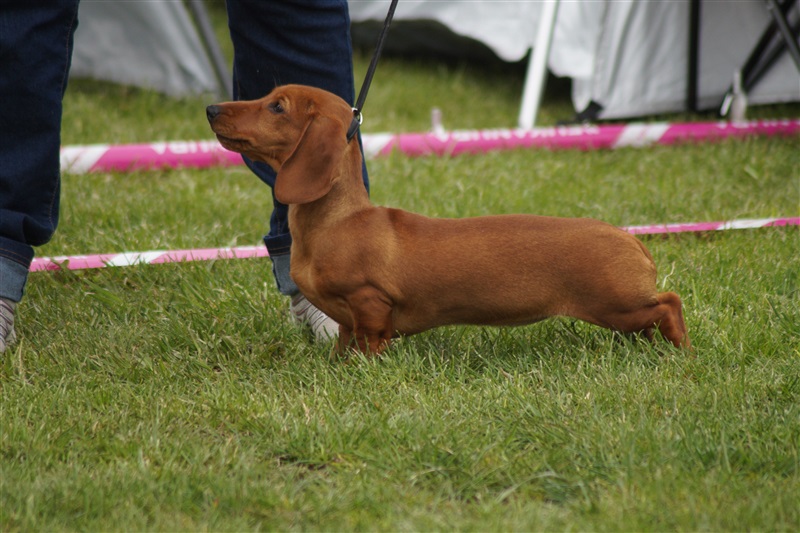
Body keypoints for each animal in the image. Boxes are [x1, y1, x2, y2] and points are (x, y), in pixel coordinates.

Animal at [207, 84, 690, 355]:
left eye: (277, 107)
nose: (211, 109)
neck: (337, 220)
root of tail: (631, 239)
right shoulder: (345, 318)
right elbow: (343, 340)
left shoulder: (370, 302)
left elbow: (368, 340)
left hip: (616, 304)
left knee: (669, 303)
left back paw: (681, 350)